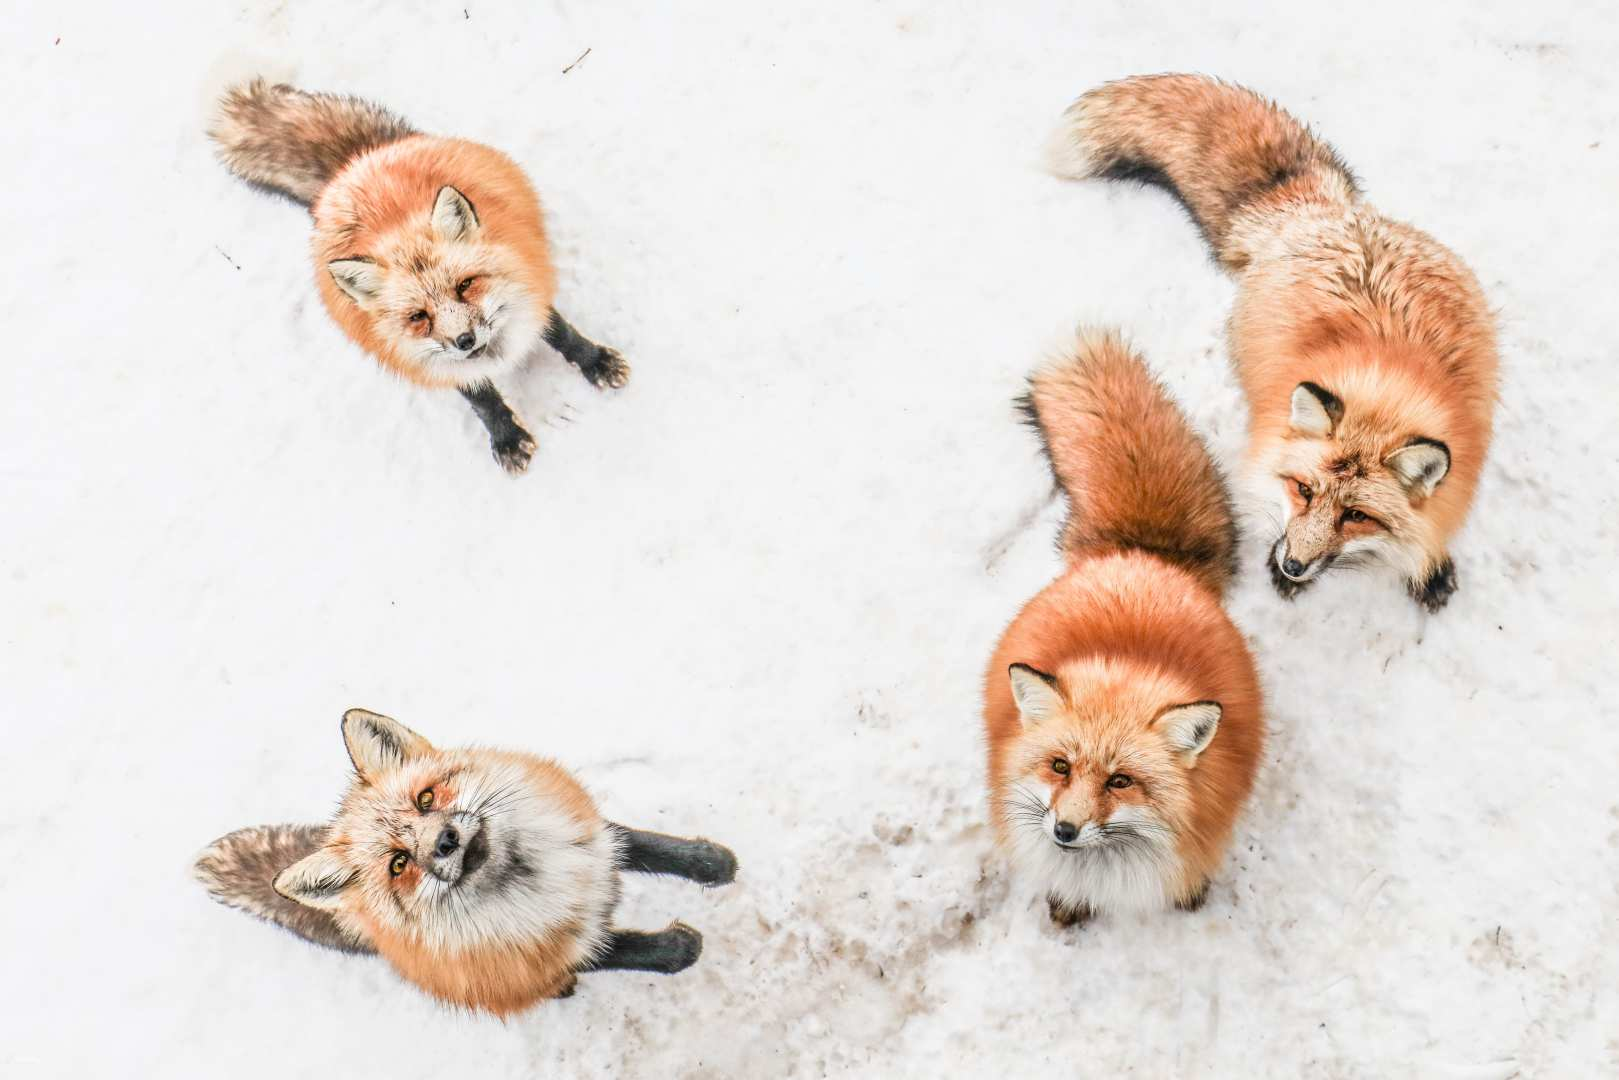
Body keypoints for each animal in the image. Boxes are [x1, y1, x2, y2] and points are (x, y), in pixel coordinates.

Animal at [195, 709, 737, 1016]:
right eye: (398, 864)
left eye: (426, 799)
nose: (445, 843)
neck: (536, 874)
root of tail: (363, 925)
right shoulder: (535, 957)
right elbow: (624, 950)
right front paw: (678, 948)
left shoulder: (591, 839)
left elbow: (648, 846)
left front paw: (713, 863)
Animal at [209, 80, 629, 474]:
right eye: (418, 317)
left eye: (465, 285)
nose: (464, 340)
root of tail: (354, 164)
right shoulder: (425, 359)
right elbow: (481, 398)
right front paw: (507, 437)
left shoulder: (530, 291)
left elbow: (565, 336)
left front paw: (597, 362)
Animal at [1049, 74, 1498, 611]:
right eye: (1303, 490)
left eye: (1356, 515)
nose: (1293, 565)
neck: (1385, 394)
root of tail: (1319, 213)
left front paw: (1429, 566)